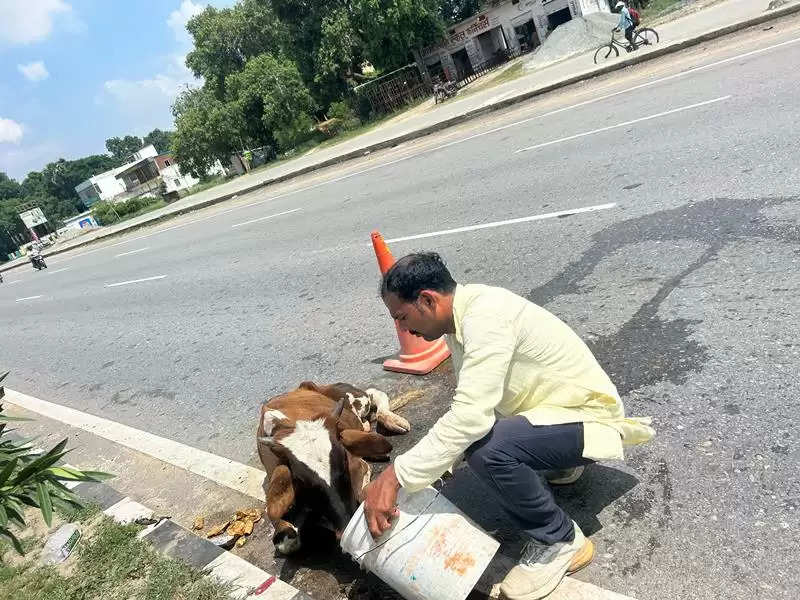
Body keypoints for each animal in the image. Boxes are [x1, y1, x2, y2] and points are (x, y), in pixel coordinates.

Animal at [256, 382, 410, 556]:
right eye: (301, 480)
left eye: (344, 460)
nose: (345, 526)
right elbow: (285, 541)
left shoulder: (358, 466)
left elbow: (364, 492)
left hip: (355, 399)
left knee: (373, 394)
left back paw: (393, 421)